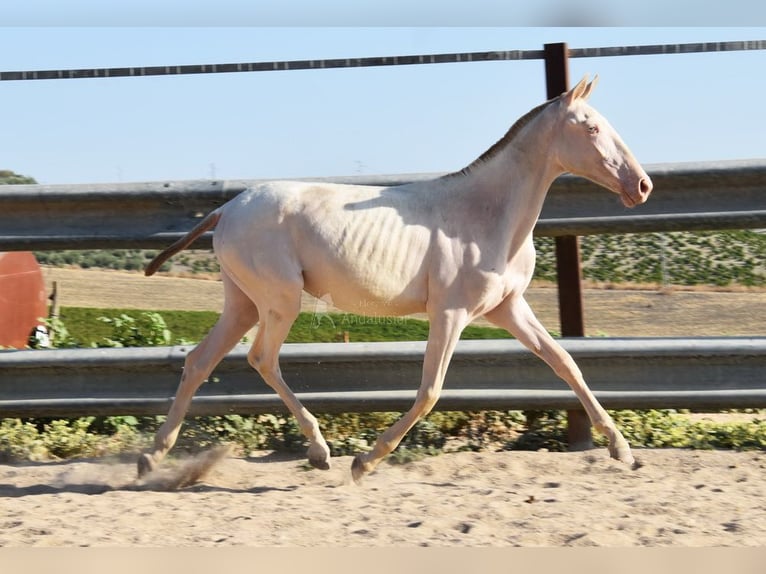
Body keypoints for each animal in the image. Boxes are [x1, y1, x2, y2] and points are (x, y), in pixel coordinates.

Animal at [140, 76, 656, 482]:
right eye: (592, 127)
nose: (642, 185)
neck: (486, 217)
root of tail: (226, 208)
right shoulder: (450, 313)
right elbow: (430, 390)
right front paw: (365, 462)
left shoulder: (508, 308)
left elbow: (566, 363)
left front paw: (623, 451)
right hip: (279, 300)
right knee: (262, 358)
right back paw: (320, 451)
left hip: (243, 302)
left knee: (200, 360)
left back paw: (153, 457)